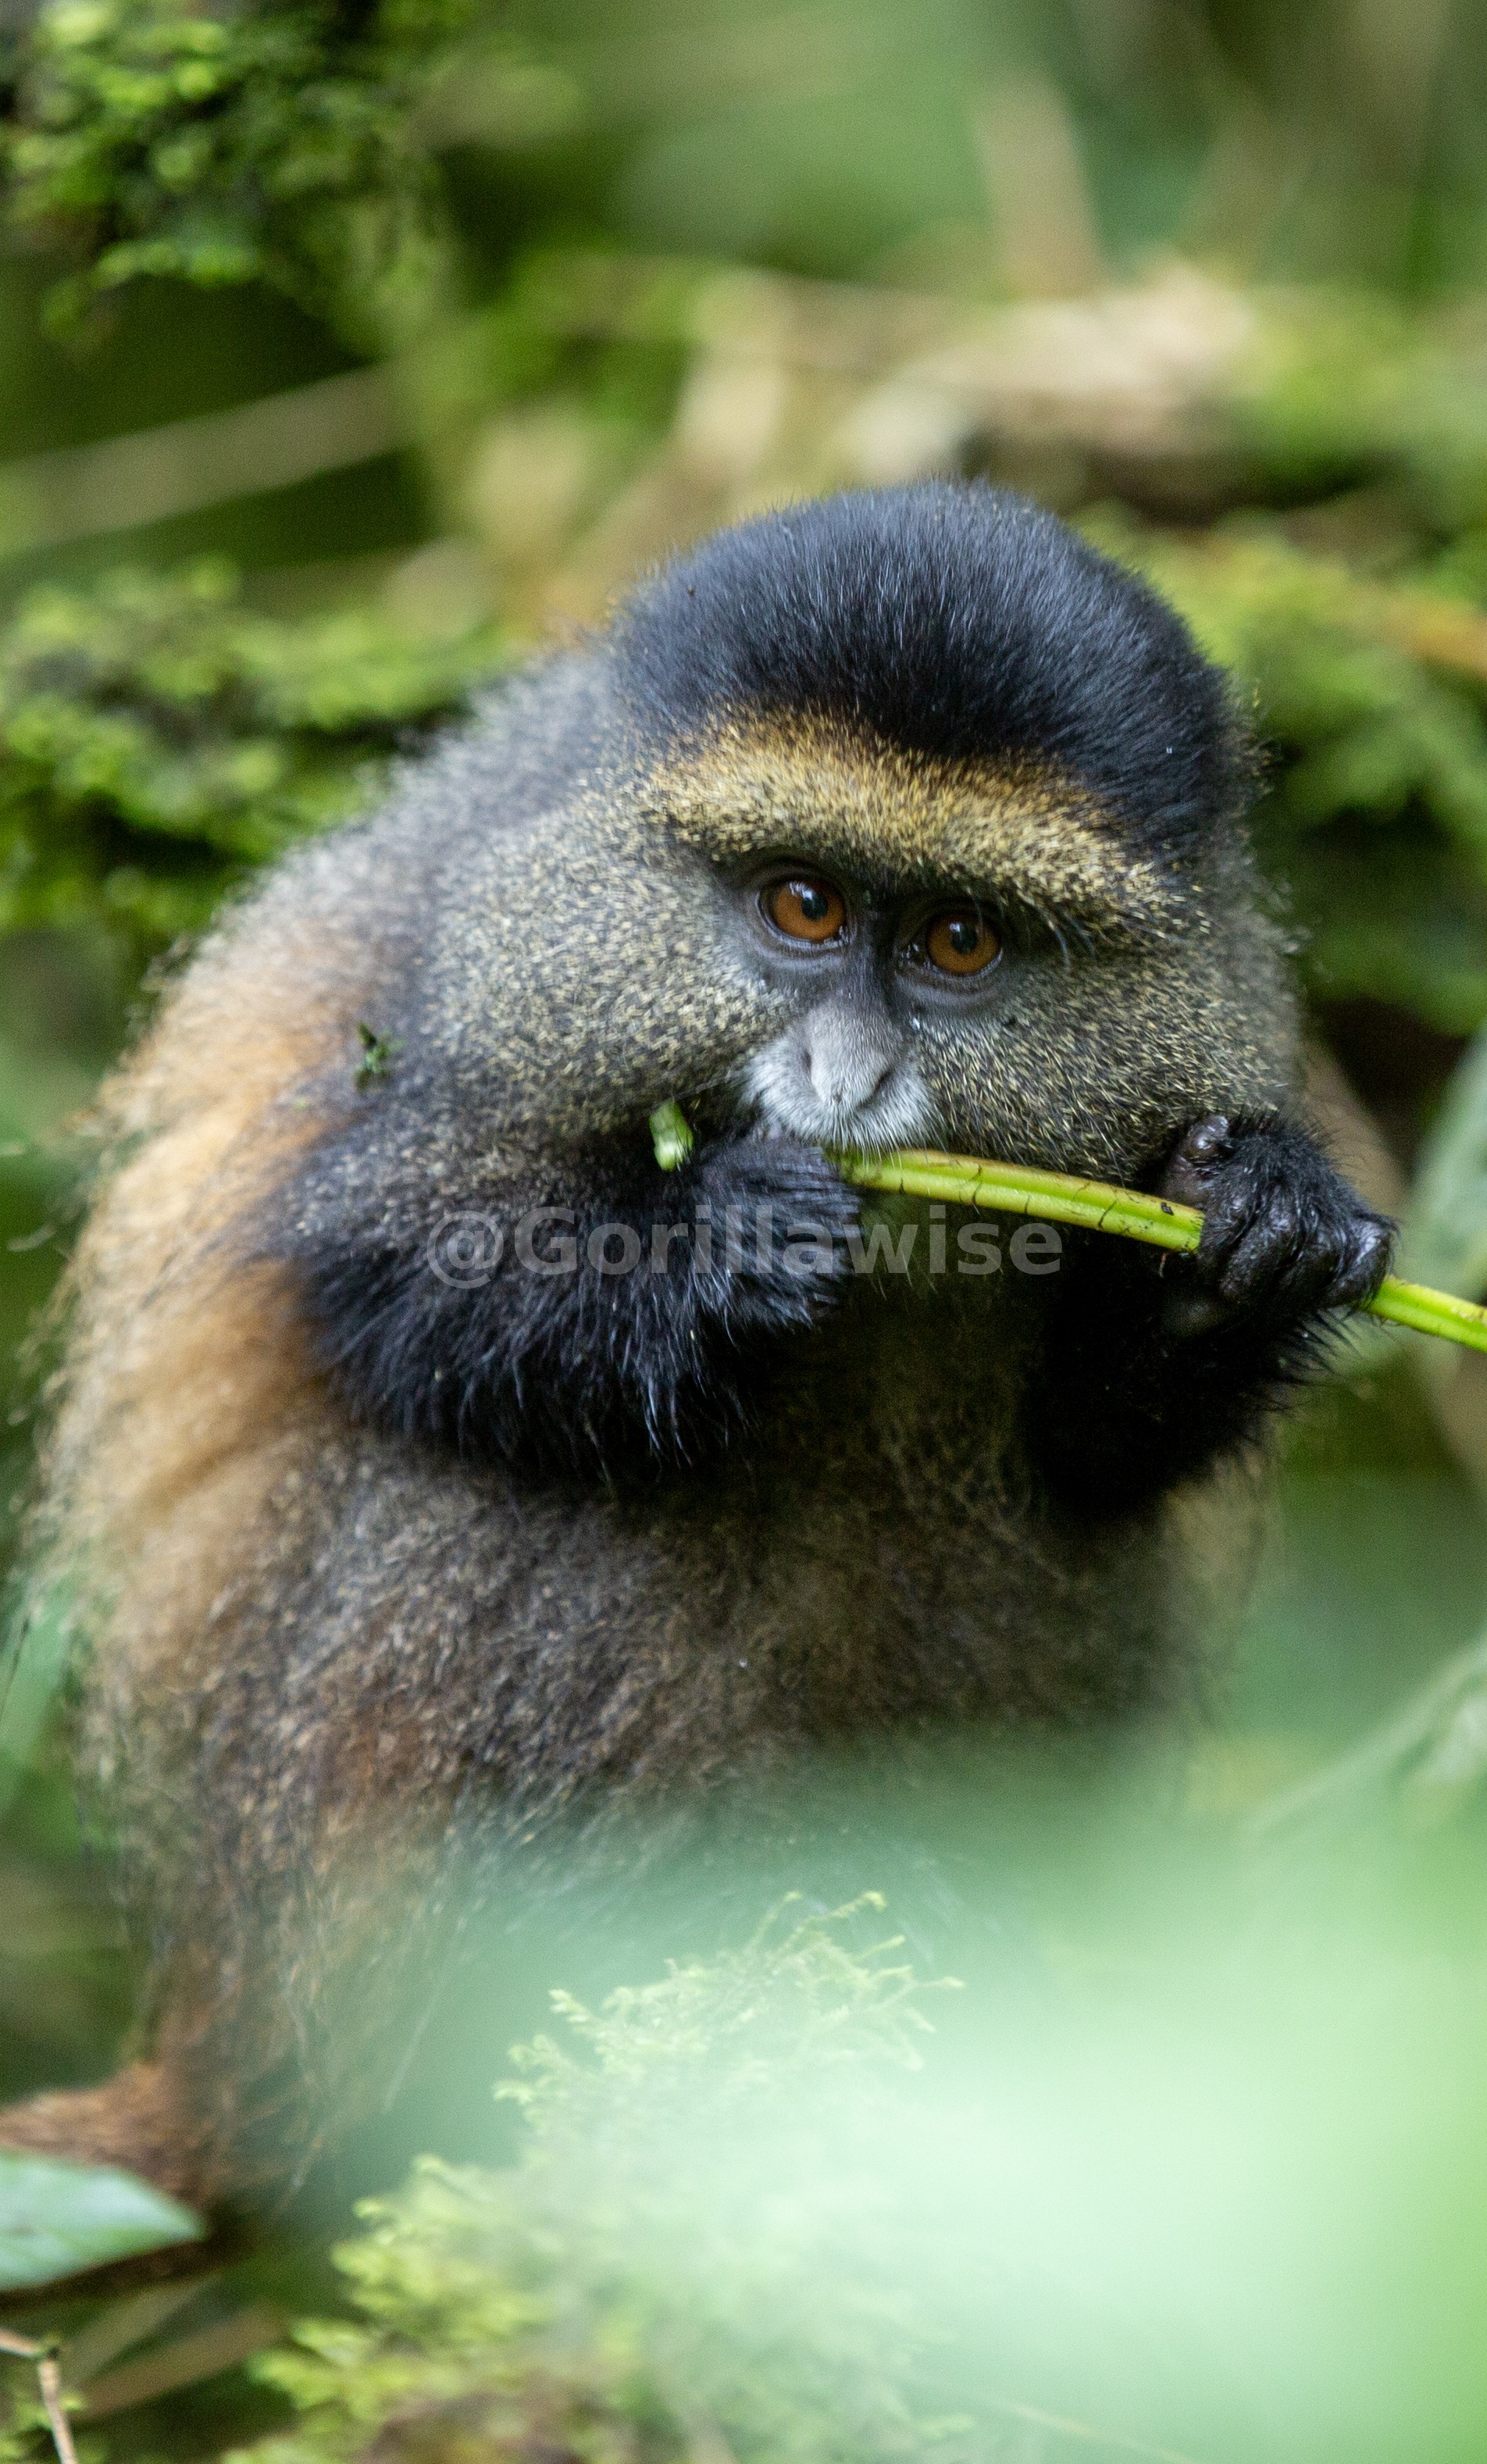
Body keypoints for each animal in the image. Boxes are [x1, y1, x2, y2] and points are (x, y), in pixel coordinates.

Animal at [0, 482, 1391, 2207]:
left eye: (958, 940)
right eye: (800, 904)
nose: (844, 1078)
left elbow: (1094, 1451)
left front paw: (1251, 1236)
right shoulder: (456, 999)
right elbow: (377, 1269)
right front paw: (715, 1249)